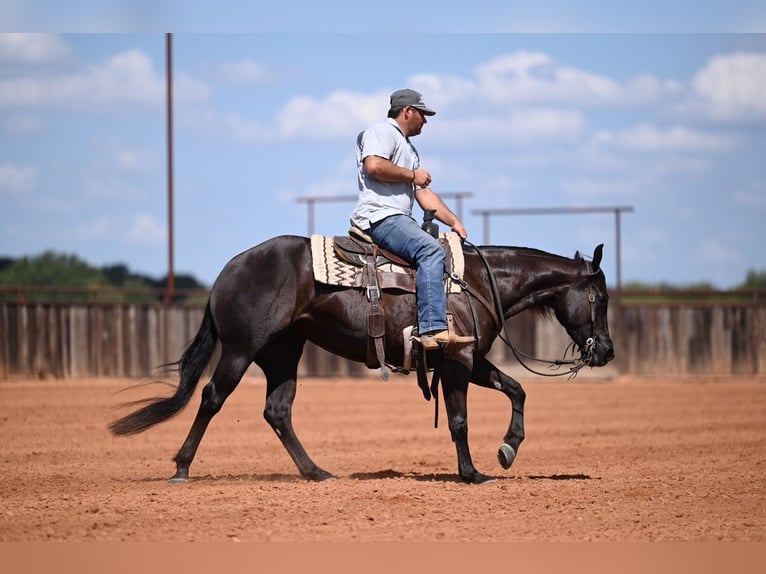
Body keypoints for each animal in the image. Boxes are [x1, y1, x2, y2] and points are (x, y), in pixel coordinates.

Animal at [109, 235, 615, 484]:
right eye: (602, 297)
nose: (607, 351)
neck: (475, 282)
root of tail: (226, 271)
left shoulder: (470, 358)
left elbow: (517, 389)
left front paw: (508, 449)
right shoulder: (457, 362)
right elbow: (459, 421)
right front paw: (473, 474)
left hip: (283, 352)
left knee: (277, 410)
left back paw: (315, 472)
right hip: (240, 350)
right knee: (213, 397)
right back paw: (181, 467)